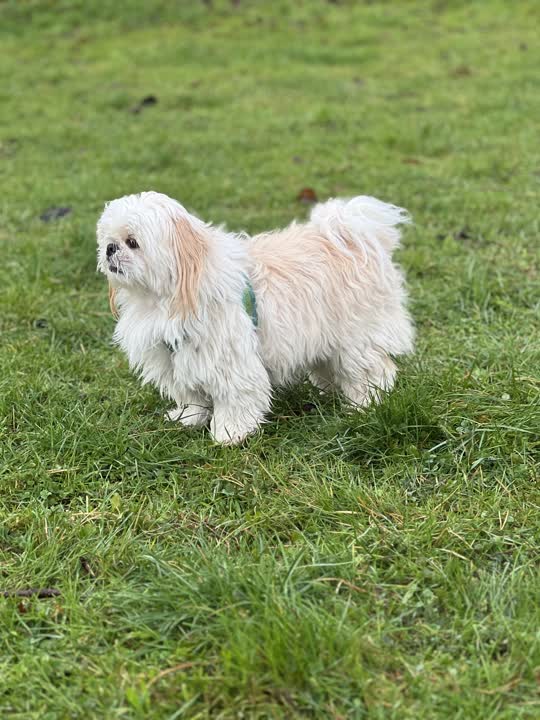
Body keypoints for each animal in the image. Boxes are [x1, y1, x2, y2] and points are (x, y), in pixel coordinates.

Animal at [97, 191, 414, 444]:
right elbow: (191, 396)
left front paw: (229, 433)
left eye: (132, 242)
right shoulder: (175, 357)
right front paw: (188, 418)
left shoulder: (228, 358)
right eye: (108, 240)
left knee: (373, 371)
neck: (162, 296)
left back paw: (363, 404)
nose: (111, 249)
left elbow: (235, 398)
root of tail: (355, 236)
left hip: (358, 338)